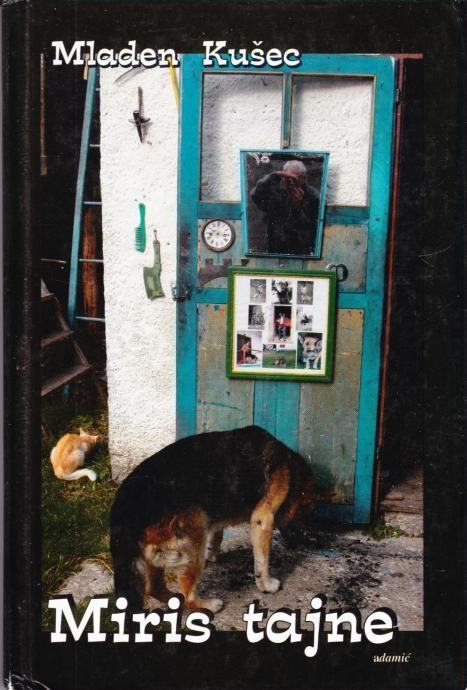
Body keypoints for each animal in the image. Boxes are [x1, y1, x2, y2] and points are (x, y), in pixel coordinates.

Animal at [110, 425, 316, 614]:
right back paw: (208, 605)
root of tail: (124, 508)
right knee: (188, 595)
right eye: (305, 512)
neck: (289, 466)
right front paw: (266, 585)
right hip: (194, 535)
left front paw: (212, 553)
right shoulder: (263, 519)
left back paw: (174, 599)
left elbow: (217, 535)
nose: (304, 540)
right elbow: (262, 561)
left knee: (154, 588)